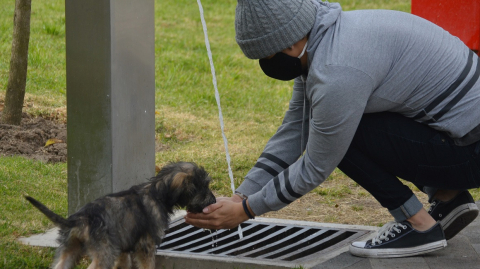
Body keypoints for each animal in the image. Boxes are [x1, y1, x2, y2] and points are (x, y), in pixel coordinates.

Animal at [24, 161, 216, 268]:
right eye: (203, 188)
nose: (214, 200)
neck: (158, 193)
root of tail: (79, 219)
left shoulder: (123, 247)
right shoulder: (145, 246)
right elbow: (148, 266)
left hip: (70, 250)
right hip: (104, 254)